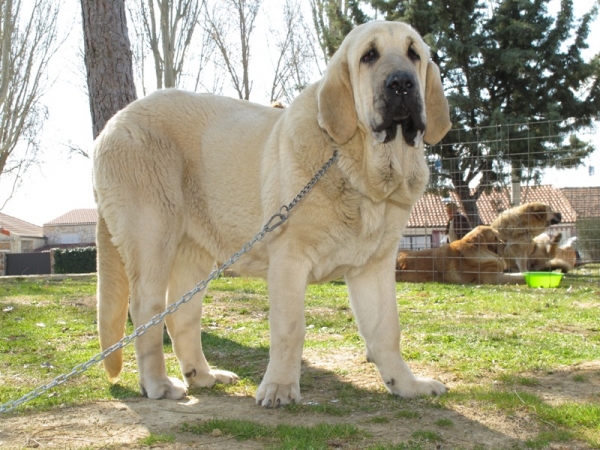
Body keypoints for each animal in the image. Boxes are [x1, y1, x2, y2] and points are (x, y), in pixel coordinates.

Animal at [94, 21, 450, 406]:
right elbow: (290, 328)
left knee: (181, 316)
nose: (401, 83)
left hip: (194, 256)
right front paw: (279, 387)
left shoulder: (374, 266)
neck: (356, 167)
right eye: (369, 55)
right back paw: (158, 383)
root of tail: (111, 125)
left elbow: (387, 329)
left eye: (414, 54)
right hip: (153, 236)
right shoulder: (289, 261)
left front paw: (406, 384)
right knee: (146, 311)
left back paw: (204, 376)